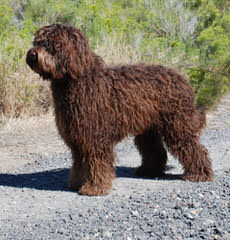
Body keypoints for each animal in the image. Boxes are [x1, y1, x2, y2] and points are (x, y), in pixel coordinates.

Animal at [26, 24, 213, 196]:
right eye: (37, 41)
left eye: (49, 44)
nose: (32, 54)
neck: (78, 79)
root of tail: (182, 79)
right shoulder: (78, 138)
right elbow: (79, 164)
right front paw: (76, 183)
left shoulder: (95, 139)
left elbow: (97, 164)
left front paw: (95, 188)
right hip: (148, 129)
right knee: (155, 150)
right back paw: (149, 171)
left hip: (177, 125)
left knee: (194, 148)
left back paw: (199, 174)